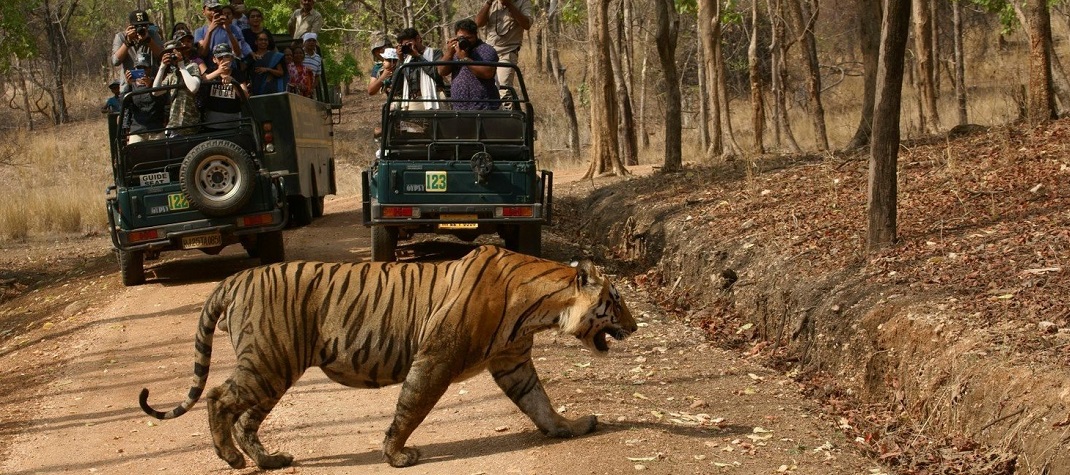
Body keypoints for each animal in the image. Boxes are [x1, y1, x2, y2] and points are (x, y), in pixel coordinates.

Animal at [133, 247, 633, 468]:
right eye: (616, 300)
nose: (635, 326)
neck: (540, 310)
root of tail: (233, 278)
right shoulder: (435, 360)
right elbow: (410, 407)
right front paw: (396, 454)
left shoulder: (513, 363)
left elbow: (540, 404)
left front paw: (570, 428)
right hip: (268, 363)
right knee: (218, 398)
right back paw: (232, 459)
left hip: (274, 370)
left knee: (245, 418)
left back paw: (270, 460)